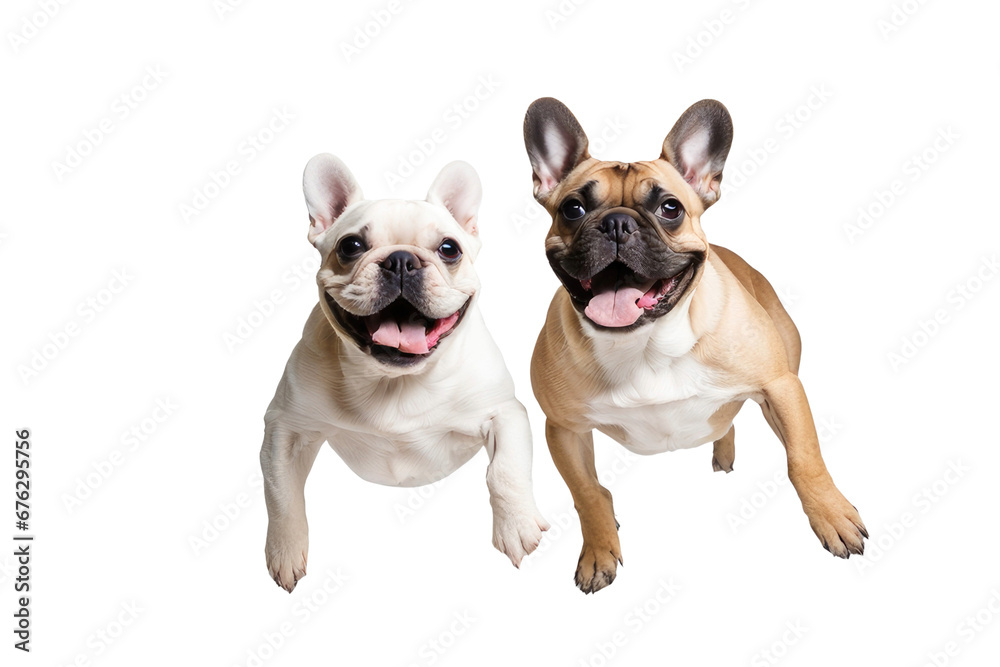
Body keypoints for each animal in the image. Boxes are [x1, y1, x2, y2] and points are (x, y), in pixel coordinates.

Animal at [260, 154, 548, 592]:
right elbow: (281, 490)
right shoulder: (285, 427)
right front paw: (285, 550)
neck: (394, 382)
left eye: (449, 249)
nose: (401, 259)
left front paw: (515, 525)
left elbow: (504, 471)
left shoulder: (505, 413)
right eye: (350, 246)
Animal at [524, 96, 868, 592]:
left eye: (670, 208)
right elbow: (588, 492)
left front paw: (833, 516)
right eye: (572, 208)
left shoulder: (781, 387)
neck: (646, 344)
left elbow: (805, 459)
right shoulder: (563, 428)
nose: (616, 223)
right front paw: (598, 551)